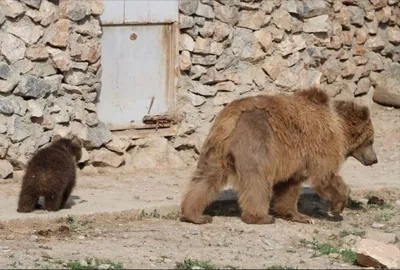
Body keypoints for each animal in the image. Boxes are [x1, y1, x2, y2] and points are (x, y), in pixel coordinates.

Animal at [181, 87, 378, 225]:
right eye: (371, 140)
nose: (374, 159)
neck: (339, 127)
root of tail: (231, 117)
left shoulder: (295, 157)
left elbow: (288, 186)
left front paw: (298, 215)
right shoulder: (321, 144)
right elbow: (324, 176)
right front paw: (337, 207)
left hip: (216, 148)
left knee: (206, 178)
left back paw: (195, 215)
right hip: (257, 138)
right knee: (258, 180)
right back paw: (260, 217)